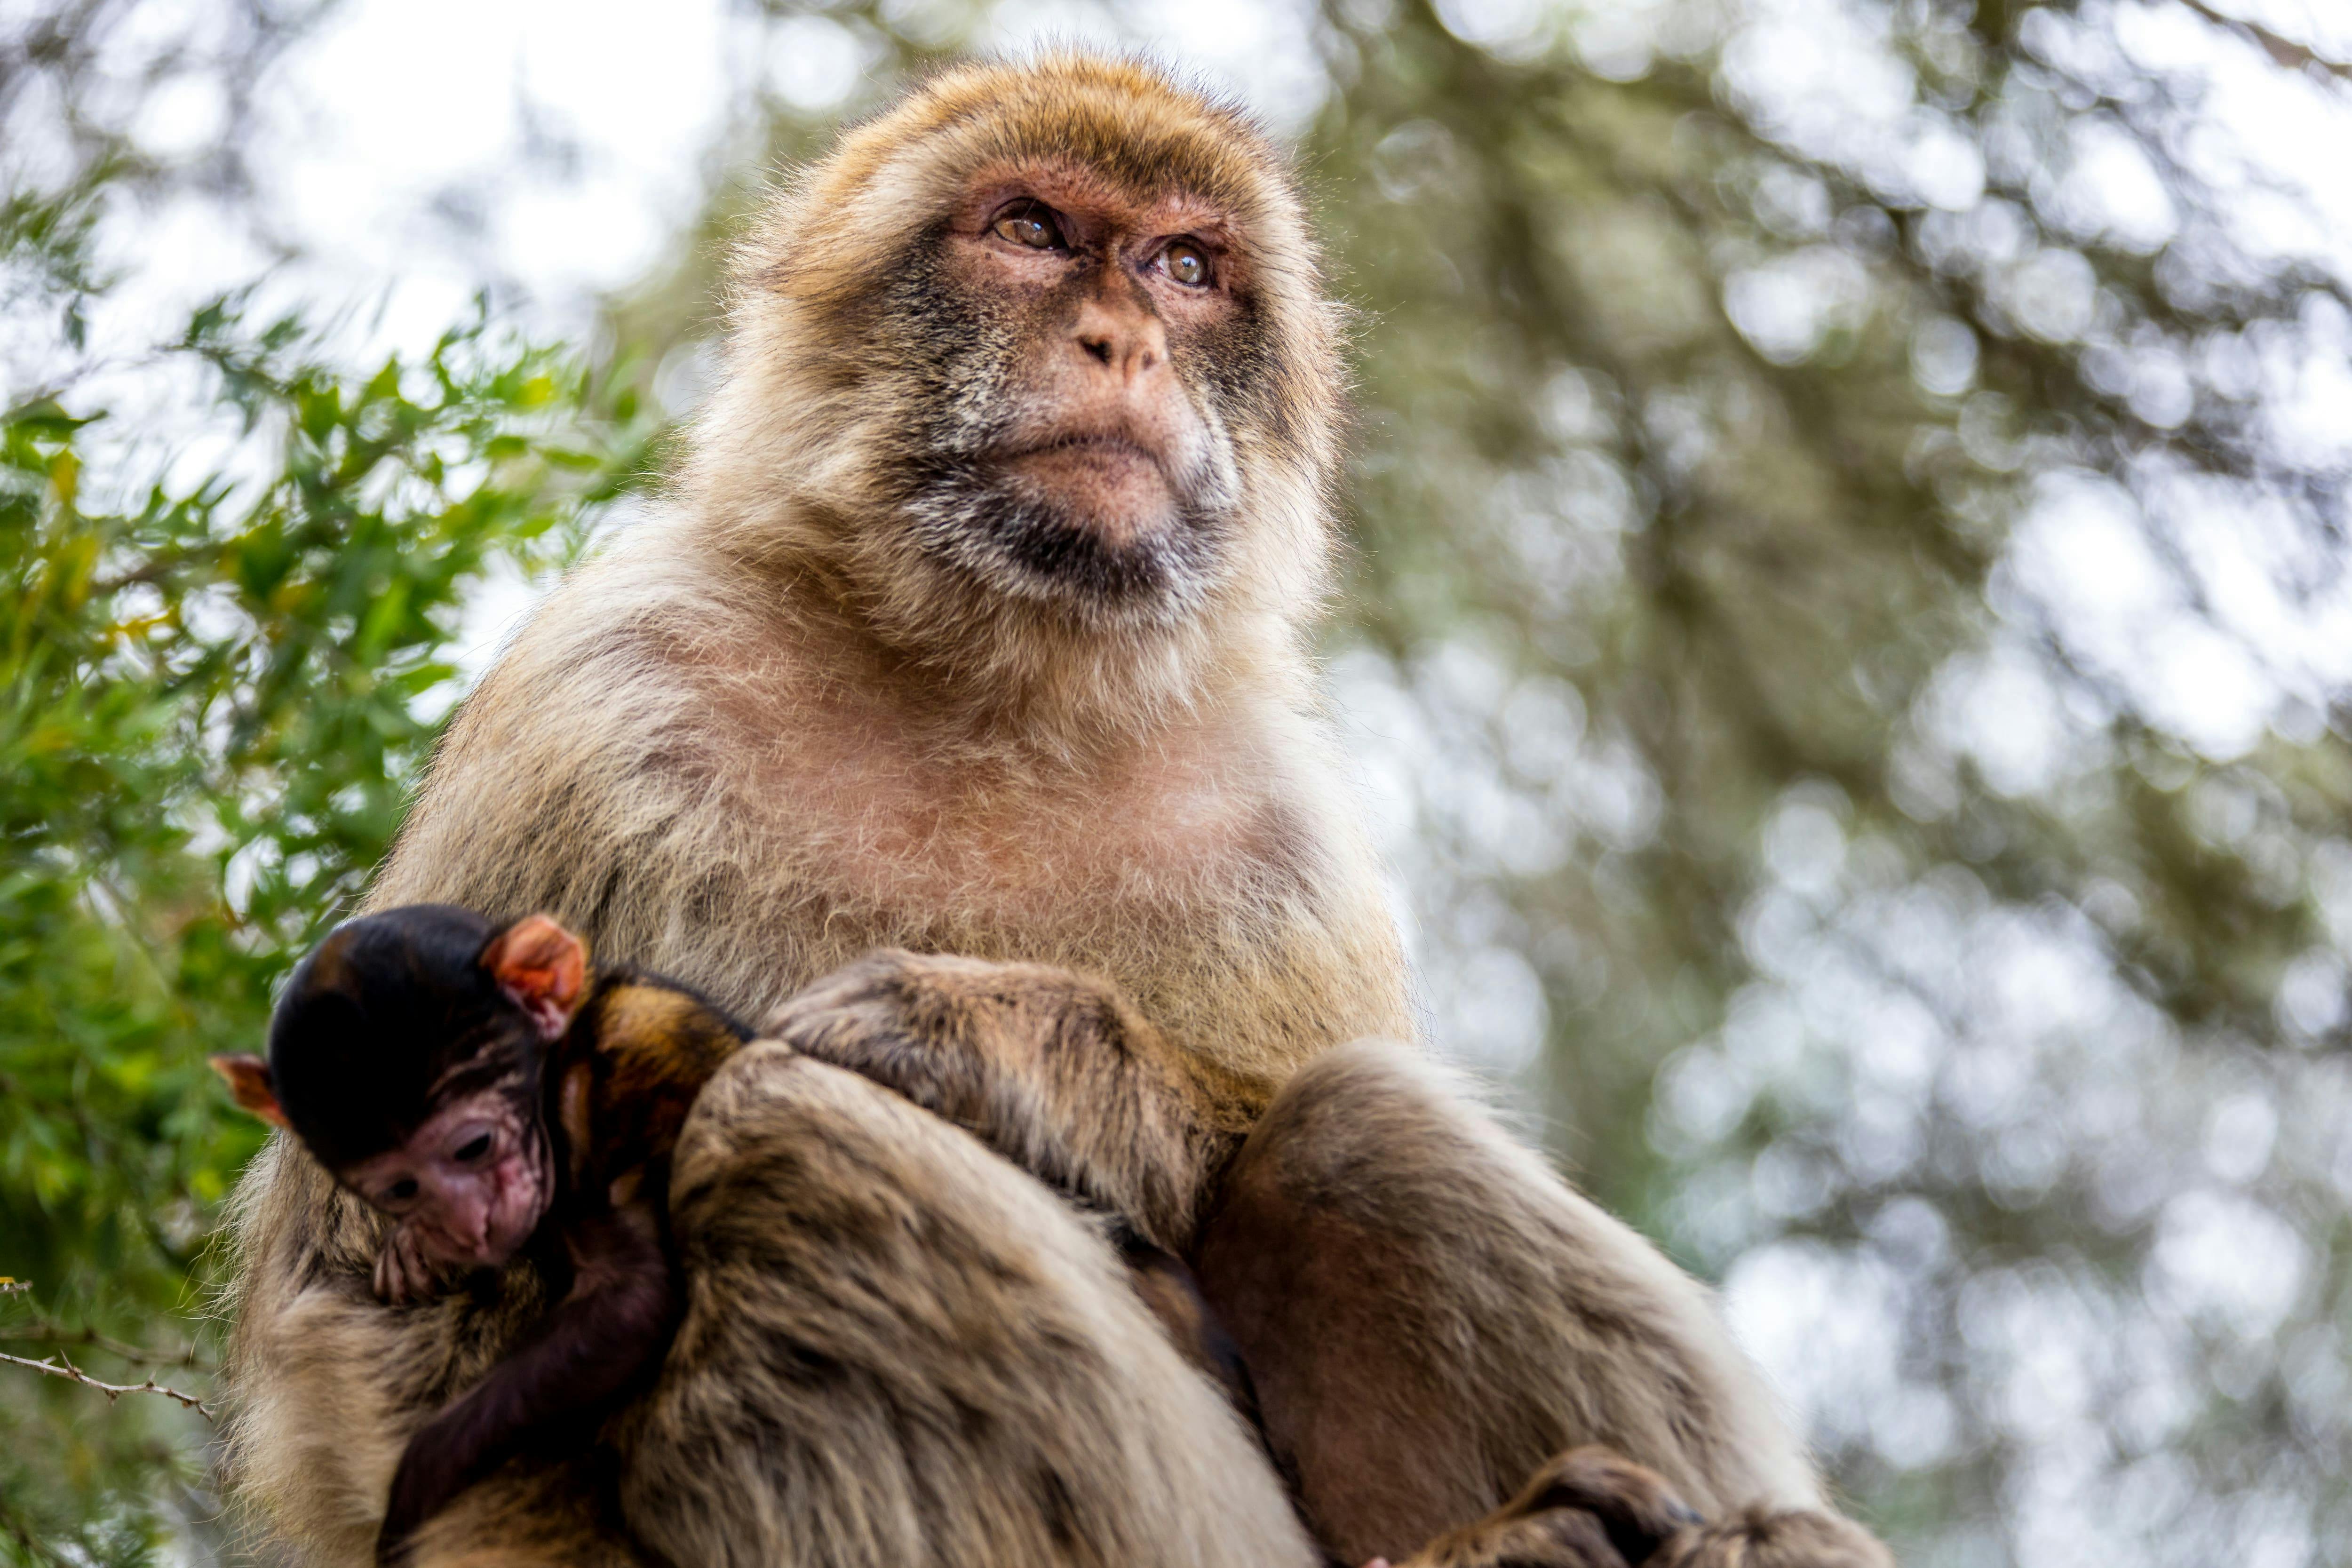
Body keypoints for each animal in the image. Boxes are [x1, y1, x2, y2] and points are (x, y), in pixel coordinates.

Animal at [214, 907, 743, 1561]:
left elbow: (633, 1301)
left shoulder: (603, 1101)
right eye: (401, 1189)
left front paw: (418, 1484)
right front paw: (413, 1249)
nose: (468, 1223)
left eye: (474, 1146)